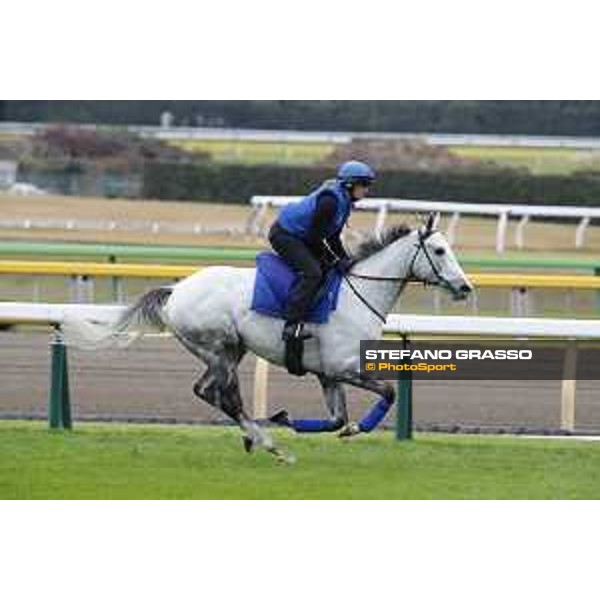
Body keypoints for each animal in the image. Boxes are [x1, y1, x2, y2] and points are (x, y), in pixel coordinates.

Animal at [62, 216, 474, 464]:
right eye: (440, 250)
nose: (465, 288)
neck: (359, 295)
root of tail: (176, 290)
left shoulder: (328, 374)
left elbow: (336, 419)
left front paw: (289, 417)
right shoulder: (344, 367)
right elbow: (386, 394)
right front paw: (355, 428)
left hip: (231, 351)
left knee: (210, 392)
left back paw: (257, 436)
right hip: (219, 348)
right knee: (224, 396)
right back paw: (269, 445)